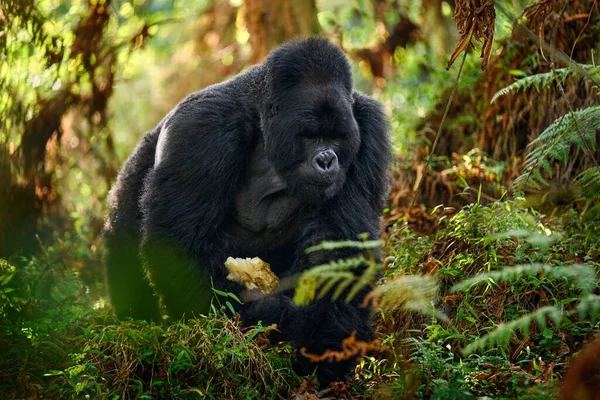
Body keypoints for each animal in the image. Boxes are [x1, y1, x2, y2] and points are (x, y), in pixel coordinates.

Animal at [105, 37, 392, 384]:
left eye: (335, 138)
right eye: (310, 136)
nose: (326, 160)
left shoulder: (369, 127)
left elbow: (341, 246)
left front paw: (327, 348)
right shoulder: (203, 129)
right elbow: (178, 246)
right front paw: (266, 316)